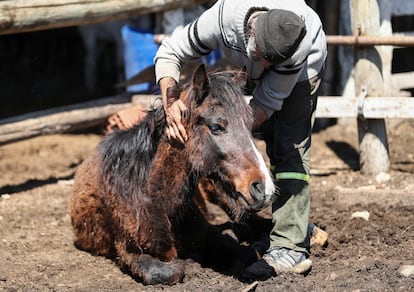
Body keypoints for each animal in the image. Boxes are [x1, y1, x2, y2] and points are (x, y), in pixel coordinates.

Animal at [69, 64, 276, 286]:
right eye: (216, 126)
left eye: (250, 124)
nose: (264, 188)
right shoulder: (129, 251)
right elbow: (171, 271)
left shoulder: (207, 234)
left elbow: (246, 253)